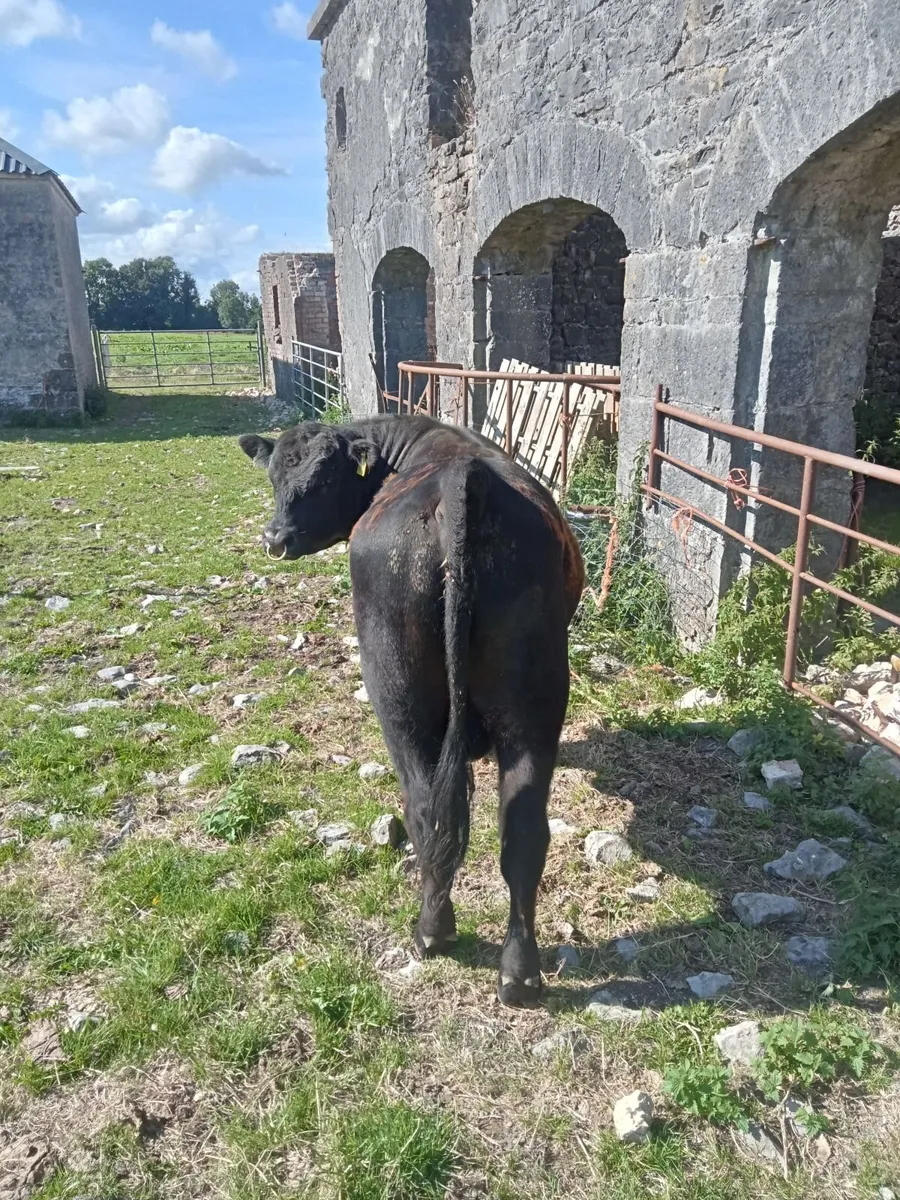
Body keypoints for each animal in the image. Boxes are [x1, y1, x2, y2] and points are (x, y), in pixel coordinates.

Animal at [239, 414, 584, 1005]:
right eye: (274, 477)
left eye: (322, 481)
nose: (274, 539)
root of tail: (461, 481)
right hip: (534, 703)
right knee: (522, 832)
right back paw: (518, 974)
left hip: (397, 695)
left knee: (426, 811)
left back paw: (431, 932)